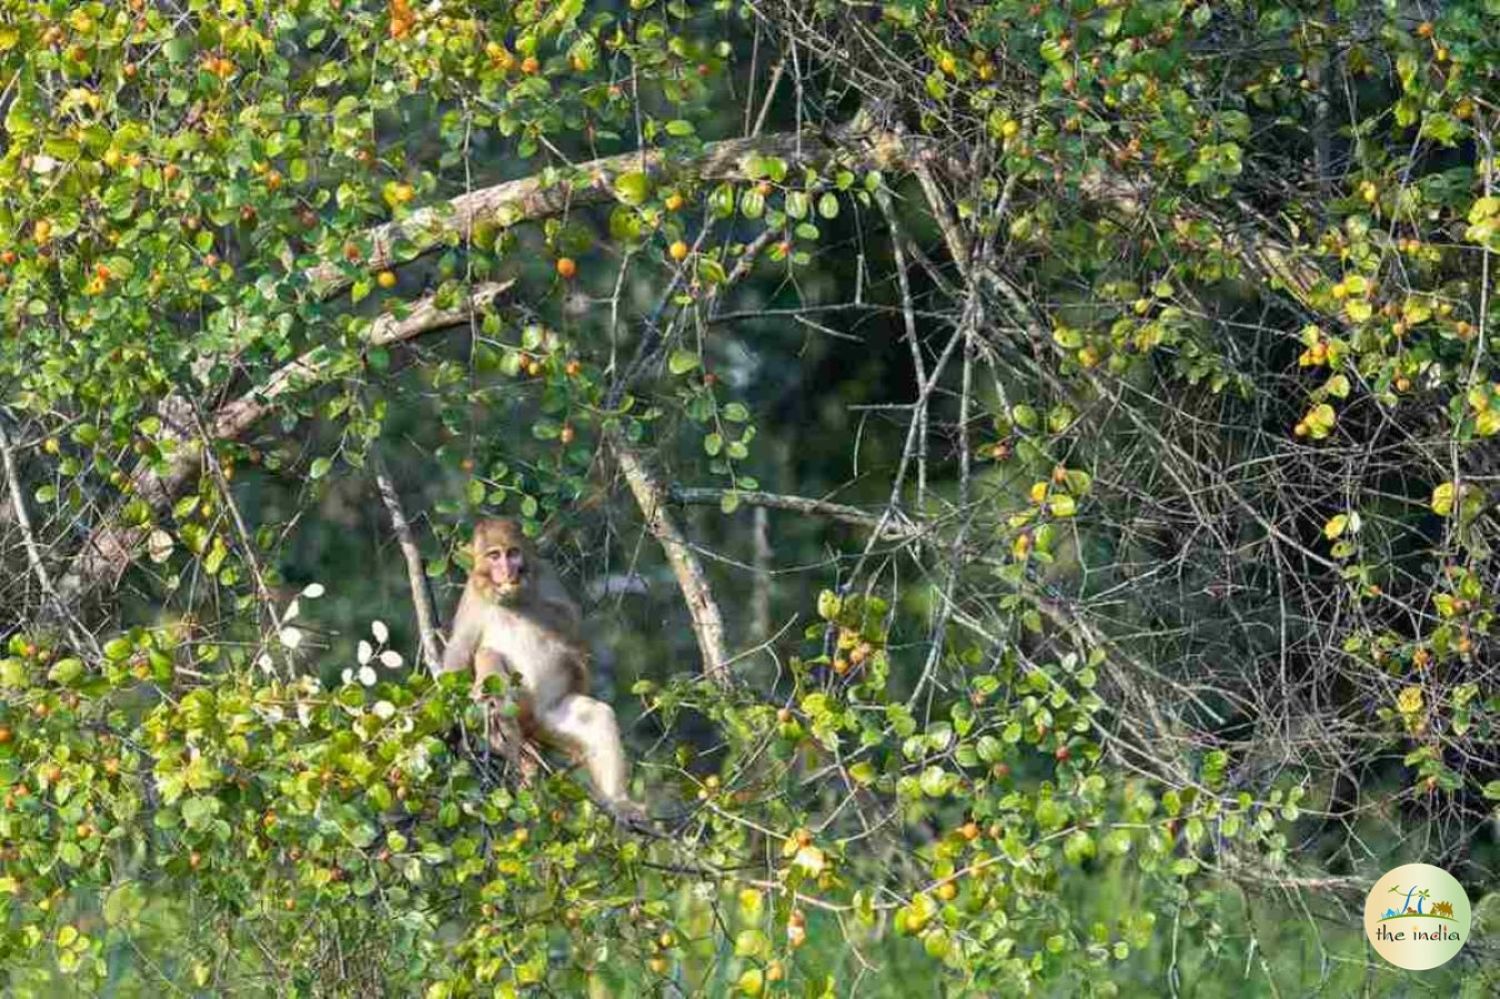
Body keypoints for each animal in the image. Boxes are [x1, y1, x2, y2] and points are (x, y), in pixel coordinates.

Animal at [435, 516, 645, 822]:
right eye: (494, 556)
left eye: (512, 553)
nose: (507, 569)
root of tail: (531, 723)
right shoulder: (472, 596)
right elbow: (460, 653)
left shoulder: (545, 573)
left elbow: (569, 621)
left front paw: (518, 590)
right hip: (520, 709)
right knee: (488, 655)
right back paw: (502, 736)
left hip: (550, 718)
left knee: (597, 717)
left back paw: (619, 802)